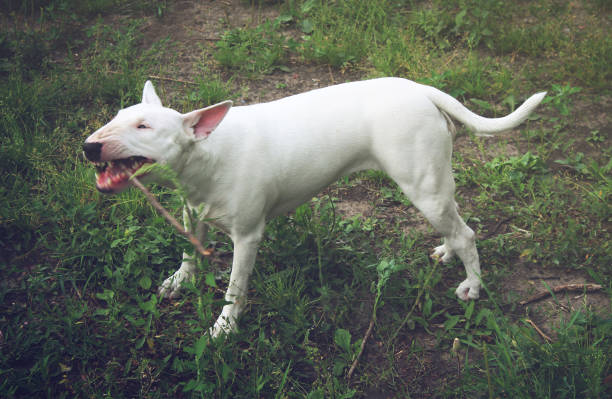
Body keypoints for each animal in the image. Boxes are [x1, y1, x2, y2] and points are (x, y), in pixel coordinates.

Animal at [82, 79, 544, 338]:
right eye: (117, 115)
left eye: (143, 126)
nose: (88, 147)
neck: (207, 153)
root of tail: (420, 89)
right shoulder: (191, 215)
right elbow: (189, 254)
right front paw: (179, 282)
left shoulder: (247, 237)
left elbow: (235, 288)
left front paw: (224, 328)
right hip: (432, 188)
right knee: (454, 226)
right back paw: (446, 252)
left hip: (422, 185)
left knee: (466, 232)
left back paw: (473, 286)